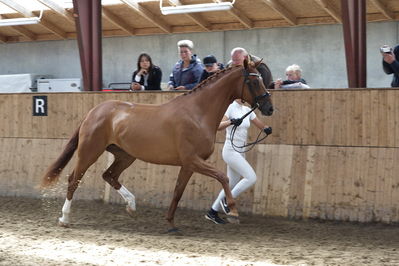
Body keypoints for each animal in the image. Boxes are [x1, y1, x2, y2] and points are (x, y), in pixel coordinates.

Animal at [40, 59, 274, 231]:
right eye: (254, 82)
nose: (269, 107)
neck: (197, 113)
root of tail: (93, 112)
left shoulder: (188, 165)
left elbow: (178, 192)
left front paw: (170, 223)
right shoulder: (193, 160)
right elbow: (223, 177)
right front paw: (233, 211)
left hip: (125, 155)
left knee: (109, 175)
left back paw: (131, 205)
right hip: (90, 151)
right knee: (74, 179)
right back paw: (65, 218)